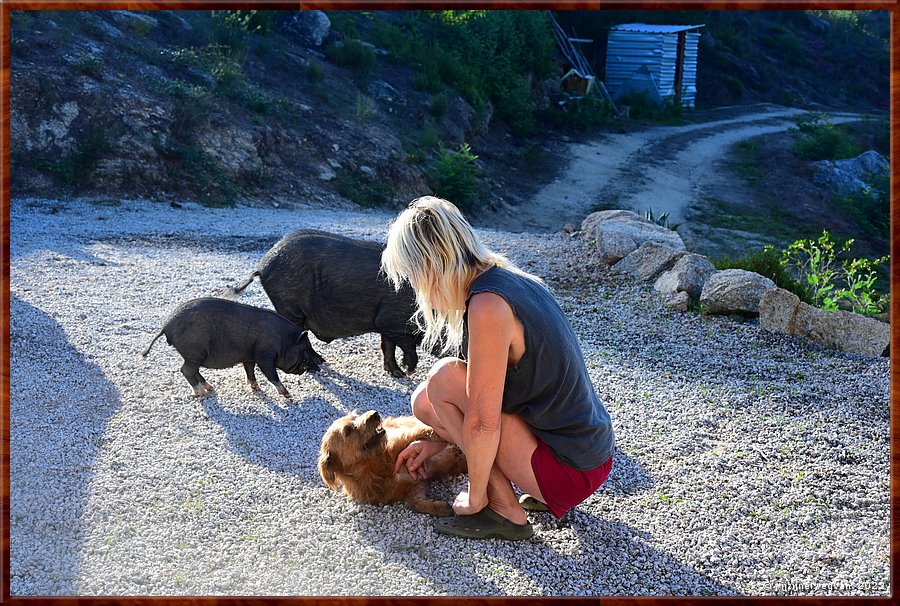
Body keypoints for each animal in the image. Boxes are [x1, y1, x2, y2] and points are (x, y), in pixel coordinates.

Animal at [142, 298, 314, 402]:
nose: (305, 369)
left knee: (193, 370)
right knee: (186, 370)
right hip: (195, 352)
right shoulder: (264, 355)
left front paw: (256, 387)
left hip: (194, 355)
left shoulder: (249, 356)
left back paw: (210, 388)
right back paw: (201, 393)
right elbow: (271, 374)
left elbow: (249, 370)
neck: (284, 341)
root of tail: (166, 326)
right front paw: (289, 396)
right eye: (303, 353)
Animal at [229, 230, 418, 378]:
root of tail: (262, 266)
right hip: (289, 306)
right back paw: (316, 365)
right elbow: (407, 345)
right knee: (299, 337)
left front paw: (398, 374)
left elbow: (388, 346)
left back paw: (320, 360)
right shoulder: (393, 320)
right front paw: (409, 371)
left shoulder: (387, 324)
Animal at [318, 410, 464, 516]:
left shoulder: (403, 440)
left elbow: (423, 431)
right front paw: (438, 507)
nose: (374, 414)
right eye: (348, 430)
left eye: (355, 415)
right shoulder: (416, 483)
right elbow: (415, 503)